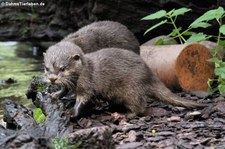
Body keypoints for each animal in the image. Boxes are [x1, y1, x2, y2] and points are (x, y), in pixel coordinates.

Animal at [43, 41, 206, 117]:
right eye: (47, 68)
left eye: (63, 68)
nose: (52, 79)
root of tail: (148, 74)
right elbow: (63, 90)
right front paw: (53, 95)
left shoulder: (86, 82)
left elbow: (83, 98)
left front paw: (73, 112)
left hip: (131, 89)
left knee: (140, 106)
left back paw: (129, 114)